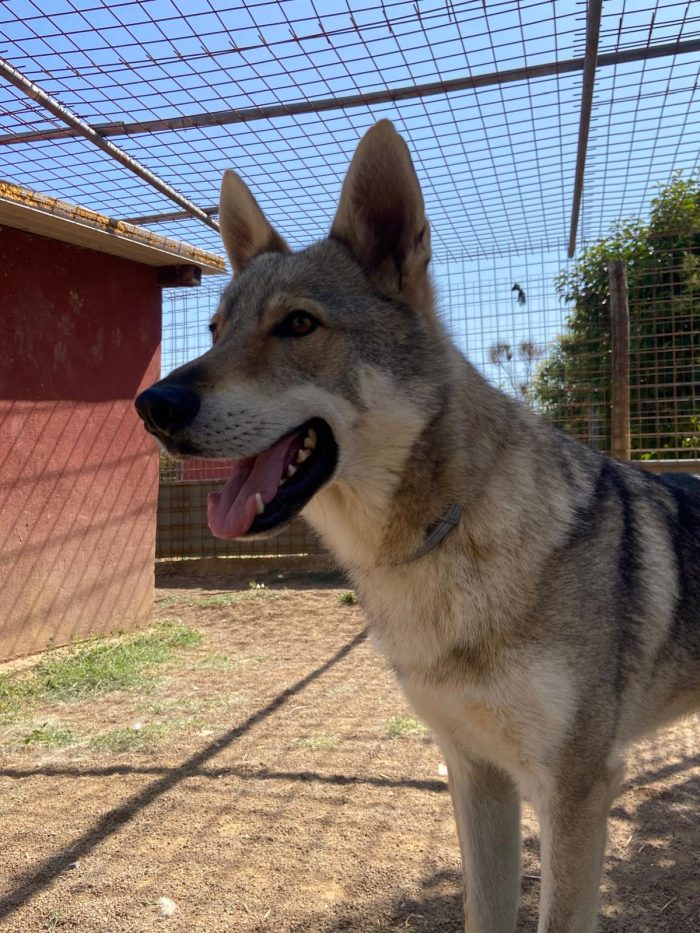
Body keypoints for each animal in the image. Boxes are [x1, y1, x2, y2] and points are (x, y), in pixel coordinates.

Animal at [135, 121, 700, 933]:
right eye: (215, 330)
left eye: (297, 324)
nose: (152, 405)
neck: (441, 544)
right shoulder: (476, 774)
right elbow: (484, 914)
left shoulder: (577, 790)